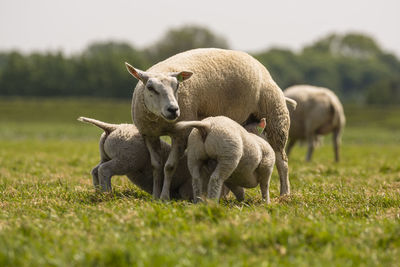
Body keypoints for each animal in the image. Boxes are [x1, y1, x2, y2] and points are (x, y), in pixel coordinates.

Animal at [126, 47, 292, 201]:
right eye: (150, 87)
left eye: (177, 86)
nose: (173, 109)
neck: (161, 120)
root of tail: (259, 64)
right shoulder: (149, 134)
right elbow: (156, 166)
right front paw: (155, 195)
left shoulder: (180, 135)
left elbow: (169, 167)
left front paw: (165, 197)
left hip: (276, 118)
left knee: (282, 161)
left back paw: (284, 194)